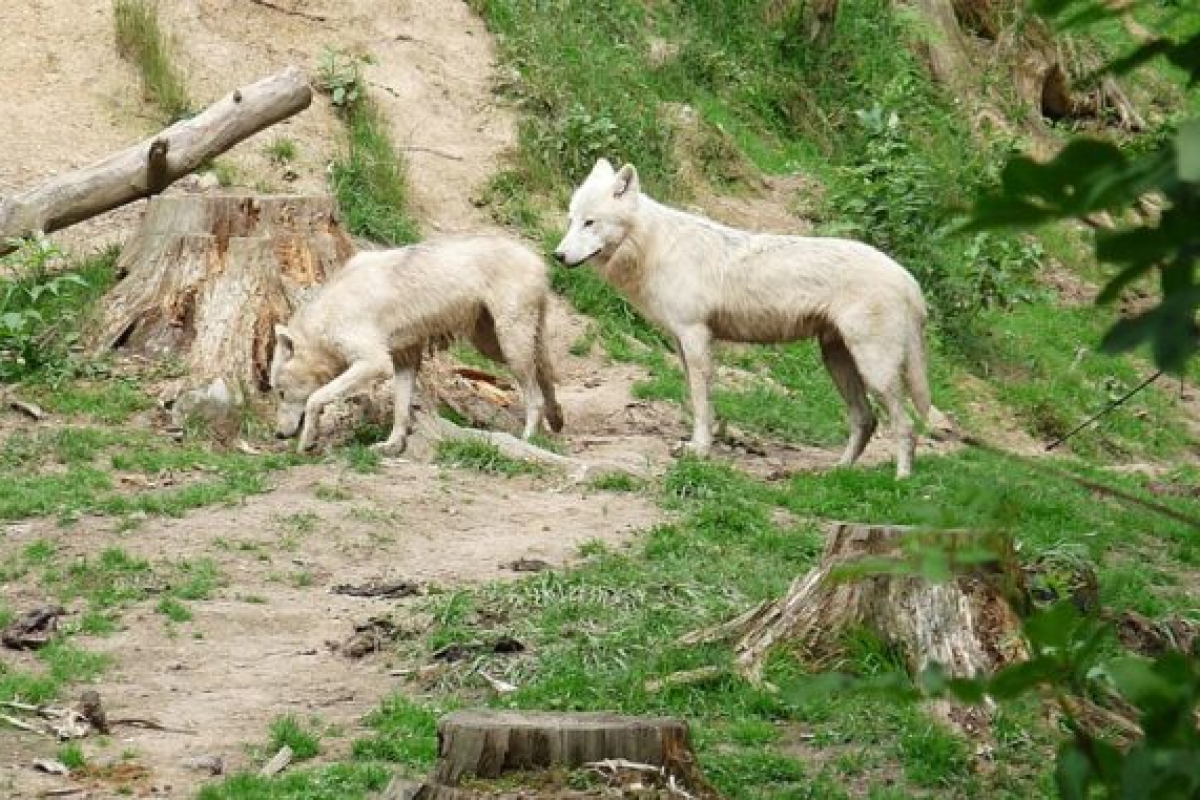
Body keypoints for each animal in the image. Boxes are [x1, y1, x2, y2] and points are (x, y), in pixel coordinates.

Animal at [274, 235, 564, 453]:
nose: (278, 434)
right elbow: (401, 410)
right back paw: (556, 419)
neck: (327, 319)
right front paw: (392, 445)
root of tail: (537, 259)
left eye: (280, 392)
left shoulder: (375, 363)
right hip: (493, 345)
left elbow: (315, 398)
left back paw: (529, 438)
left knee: (535, 395)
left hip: (508, 346)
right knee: (545, 373)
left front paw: (307, 441)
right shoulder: (404, 360)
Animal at [554, 159, 936, 479]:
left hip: (874, 369)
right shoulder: (682, 343)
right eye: (571, 220)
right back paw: (837, 473)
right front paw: (696, 444)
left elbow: (701, 403)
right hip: (838, 361)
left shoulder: (695, 336)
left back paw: (901, 481)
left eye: (590, 222)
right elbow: (696, 400)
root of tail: (909, 279)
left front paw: (700, 451)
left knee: (905, 427)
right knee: (866, 420)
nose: (557, 255)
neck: (652, 246)